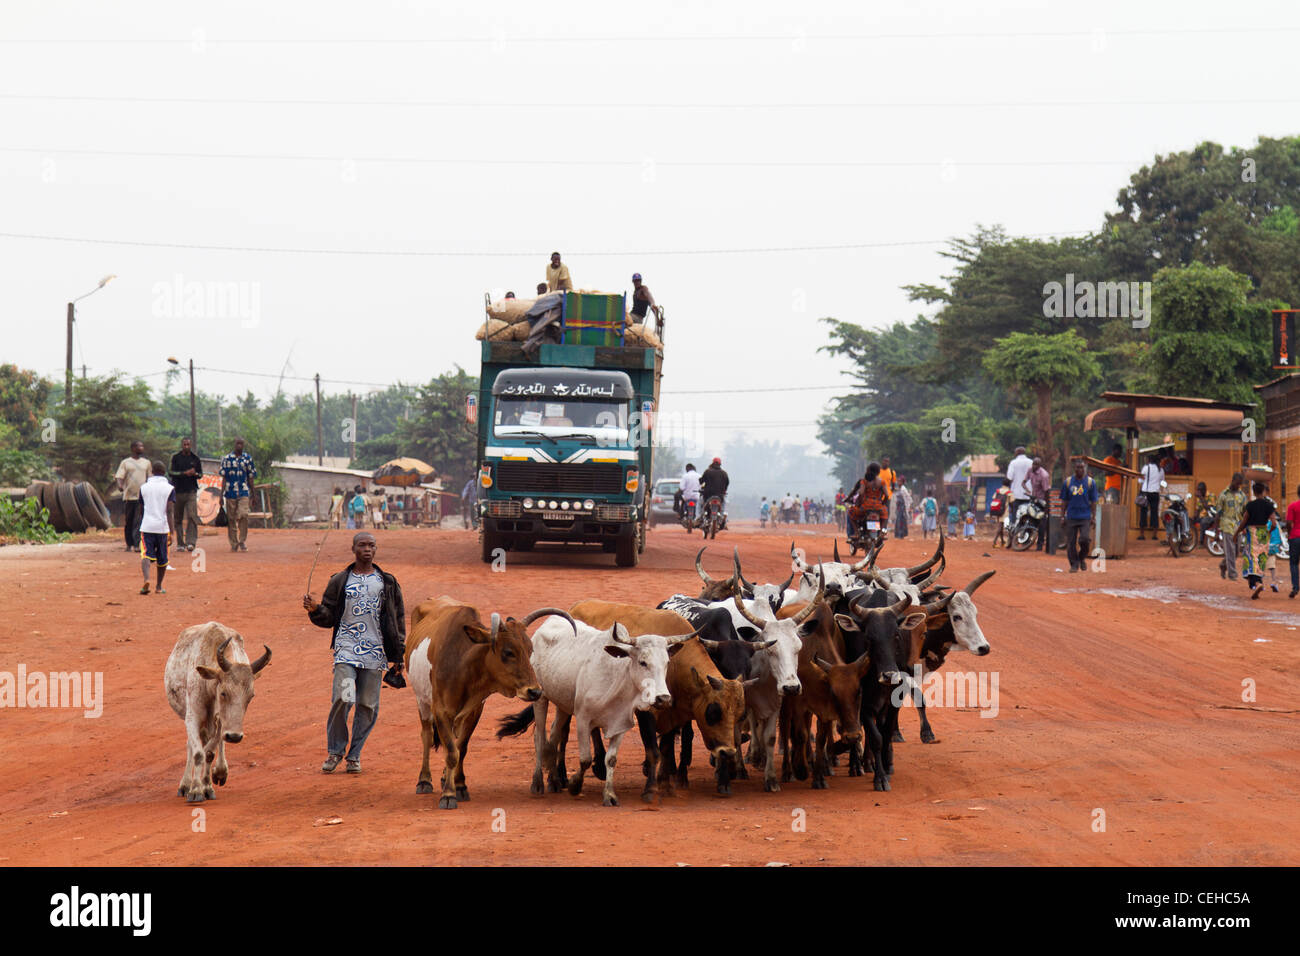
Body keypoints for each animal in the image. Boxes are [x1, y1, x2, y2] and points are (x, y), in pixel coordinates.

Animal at [165, 624, 271, 806]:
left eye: (251, 696)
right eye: (223, 693)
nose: (235, 737)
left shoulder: (221, 722)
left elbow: (209, 753)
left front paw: (207, 786)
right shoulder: (192, 717)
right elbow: (197, 753)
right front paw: (195, 790)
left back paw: (220, 772)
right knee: (191, 746)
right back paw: (185, 784)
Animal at [403, 598, 572, 806]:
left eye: (530, 649)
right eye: (508, 652)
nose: (535, 691)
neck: (462, 665)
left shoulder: (474, 710)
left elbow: (461, 748)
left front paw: (459, 786)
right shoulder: (440, 710)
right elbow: (451, 751)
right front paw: (449, 795)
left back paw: (444, 777)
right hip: (422, 700)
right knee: (426, 735)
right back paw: (424, 780)